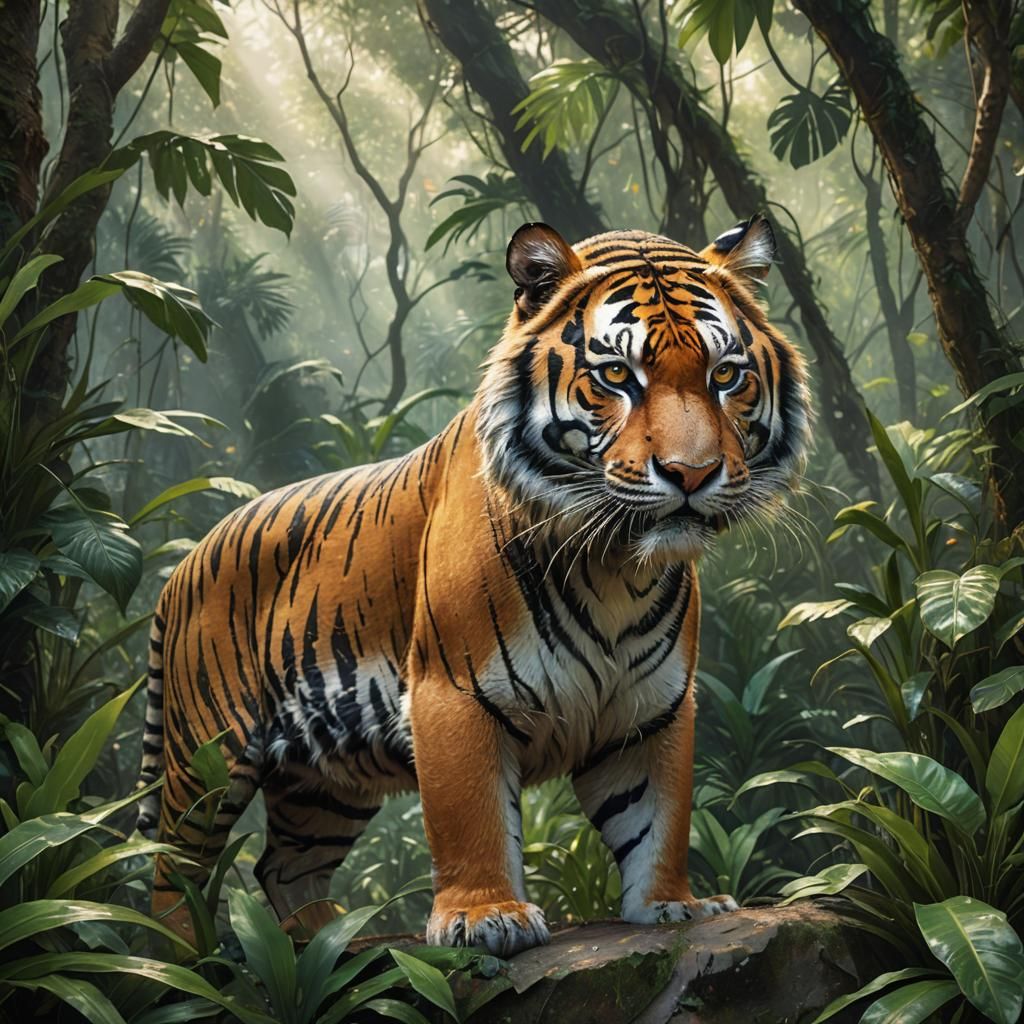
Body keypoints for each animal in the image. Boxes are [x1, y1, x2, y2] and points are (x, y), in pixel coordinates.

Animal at [138, 215, 809, 957]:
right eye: (616, 375)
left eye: (726, 375)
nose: (692, 473)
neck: (615, 568)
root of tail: (185, 561)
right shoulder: (453, 695)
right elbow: (472, 819)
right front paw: (486, 918)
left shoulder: (651, 710)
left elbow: (658, 819)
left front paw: (674, 905)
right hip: (208, 757)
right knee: (173, 864)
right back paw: (184, 954)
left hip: (325, 780)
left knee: (284, 865)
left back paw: (329, 945)